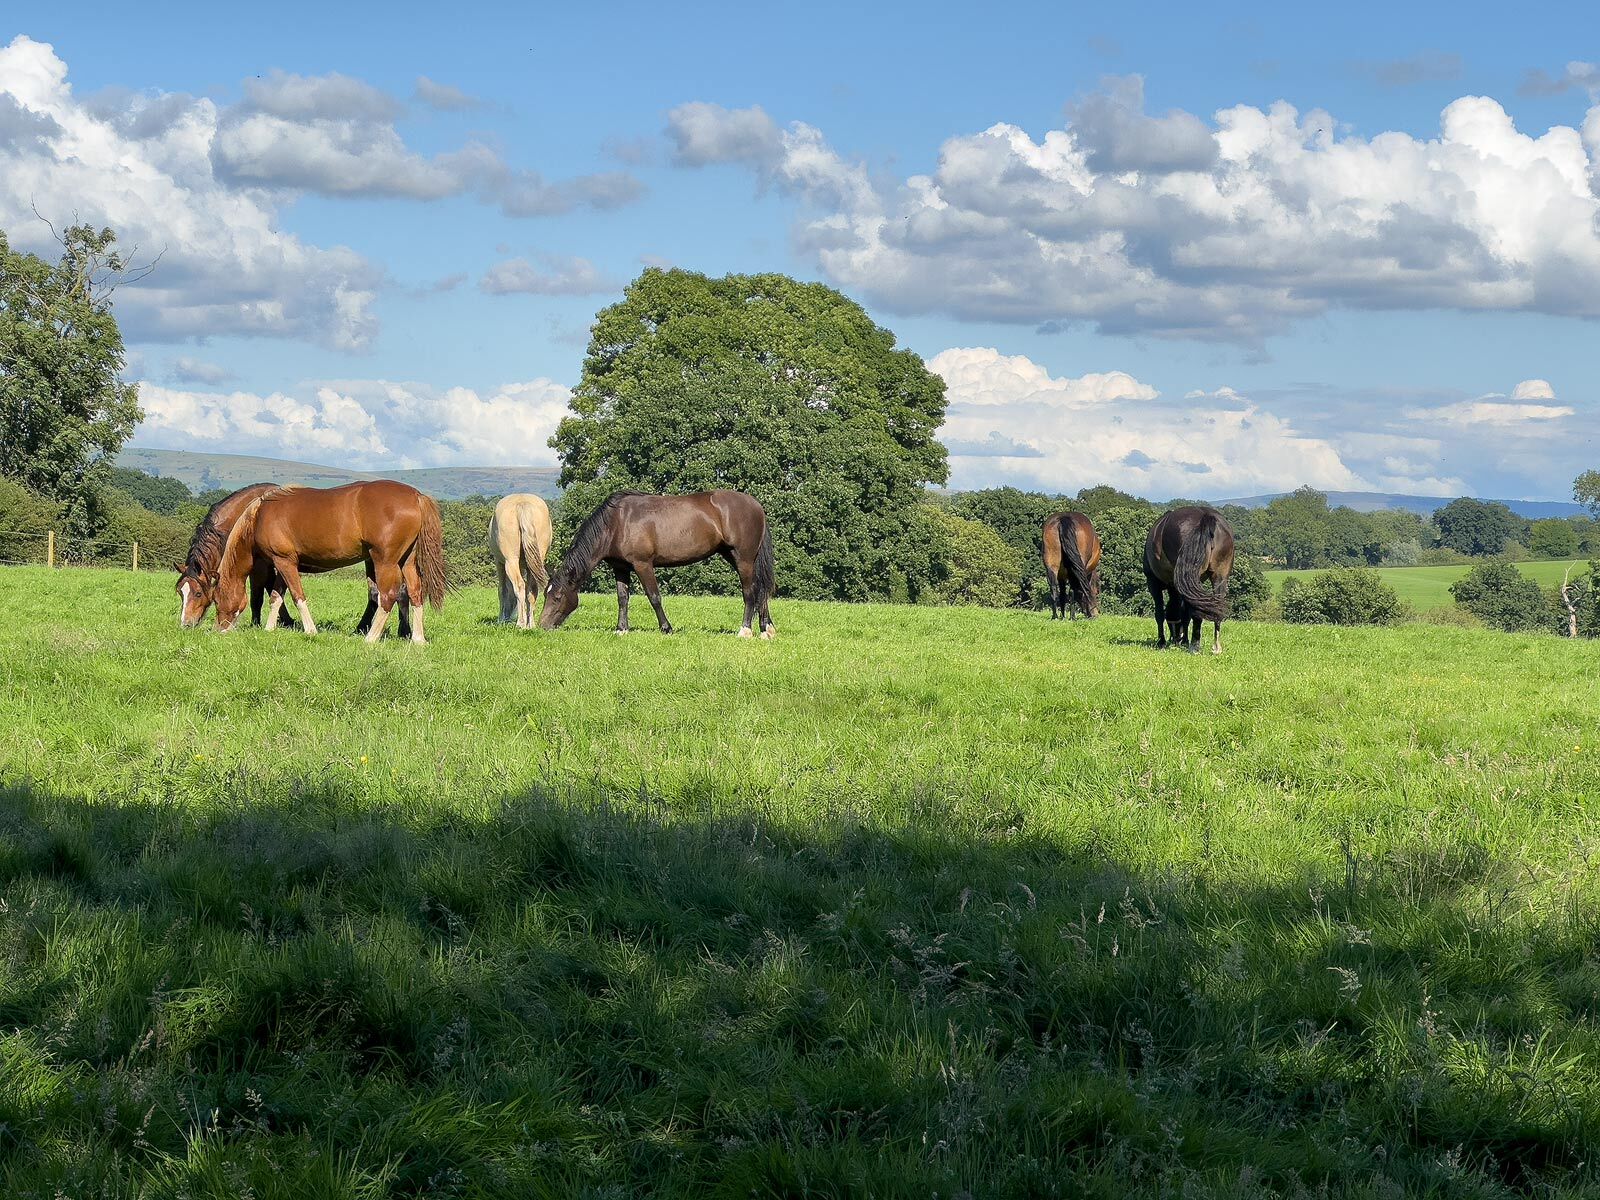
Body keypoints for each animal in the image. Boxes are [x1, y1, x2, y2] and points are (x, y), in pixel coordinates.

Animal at [215, 481, 446, 643]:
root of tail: (416, 496)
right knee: (415, 593)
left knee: (388, 596)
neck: (260, 516)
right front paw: (270, 628)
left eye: (215, 600)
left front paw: (310, 630)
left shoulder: (284, 562)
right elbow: (276, 596)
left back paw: (370, 638)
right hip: (407, 561)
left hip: (384, 561)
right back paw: (418, 639)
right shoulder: (283, 563)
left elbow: (297, 596)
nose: (220, 629)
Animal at [489, 494, 552, 629]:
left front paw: (500, 619)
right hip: (536, 561)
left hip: (510, 561)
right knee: (532, 590)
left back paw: (521, 623)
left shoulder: (499, 563)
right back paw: (530, 625)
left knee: (519, 586)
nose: (508, 617)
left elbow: (502, 590)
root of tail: (522, 503)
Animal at [538, 490, 775, 637]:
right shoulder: (620, 567)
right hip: (736, 557)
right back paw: (766, 629)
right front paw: (621, 629)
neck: (616, 523)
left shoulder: (643, 565)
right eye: (545, 595)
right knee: (760, 589)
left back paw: (745, 630)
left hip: (743, 558)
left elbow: (654, 597)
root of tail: (757, 506)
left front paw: (666, 628)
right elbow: (622, 598)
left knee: (750, 592)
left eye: (557, 597)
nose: (541, 626)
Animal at [1143, 506, 1235, 654]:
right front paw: (1185, 640)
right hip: (1219, 578)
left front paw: (1162, 642)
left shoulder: (1153, 582)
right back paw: (1215, 647)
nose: (1175, 638)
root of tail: (1205, 516)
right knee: (1215, 608)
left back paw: (1195, 645)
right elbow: (1185, 613)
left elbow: (1160, 613)